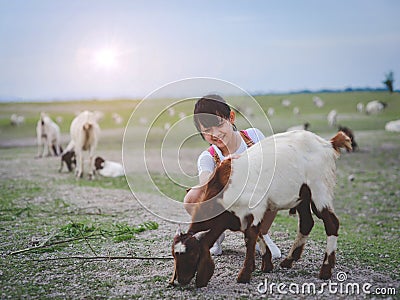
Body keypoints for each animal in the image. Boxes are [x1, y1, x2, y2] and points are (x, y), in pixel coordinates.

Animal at [170, 130, 352, 288]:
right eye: (174, 255)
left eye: (193, 255)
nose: (180, 281)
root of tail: (328, 144)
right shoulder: (242, 215)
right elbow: (255, 235)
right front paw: (265, 264)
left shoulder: (255, 208)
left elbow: (251, 236)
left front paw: (244, 275)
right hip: (302, 196)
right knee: (307, 222)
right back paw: (289, 260)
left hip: (319, 189)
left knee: (331, 223)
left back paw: (325, 270)